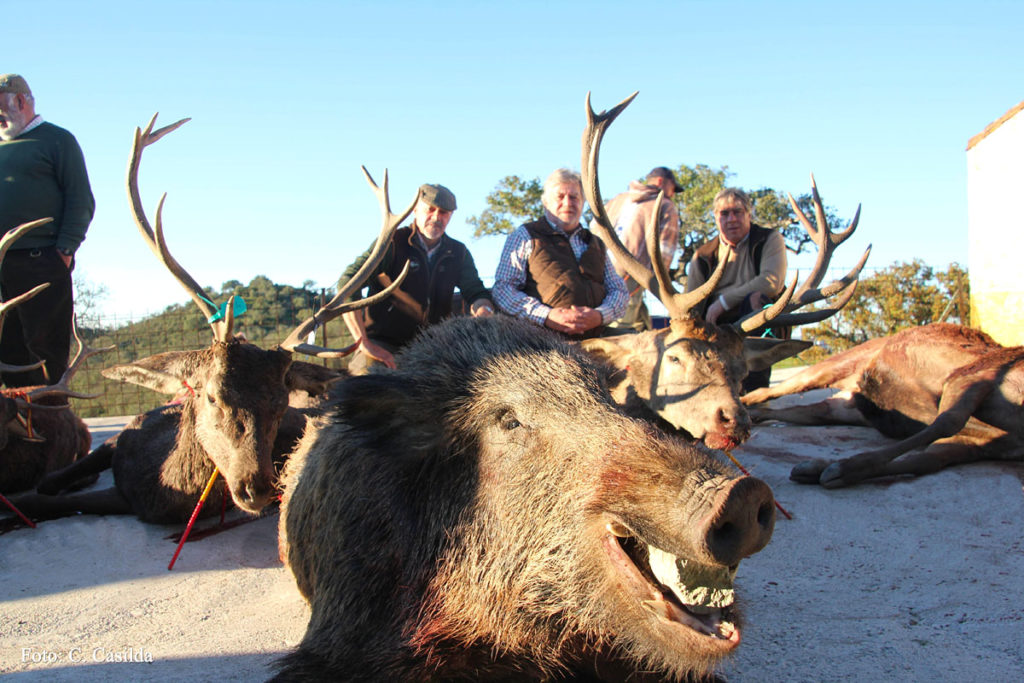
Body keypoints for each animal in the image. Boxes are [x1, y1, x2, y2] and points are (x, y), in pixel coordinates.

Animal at [12, 116, 411, 524]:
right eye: (211, 395)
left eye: (281, 402)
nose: (256, 488)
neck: (158, 481)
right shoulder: (128, 430)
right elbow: (45, 488)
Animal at [745, 323, 1024, 489]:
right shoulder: (971, 375)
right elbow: (947, 421)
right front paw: (839, 466)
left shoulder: (990, 444)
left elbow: (925, 460)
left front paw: (828, 468)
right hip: (839, 363)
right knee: (766, 390)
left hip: (846, 408)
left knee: (794, 410)